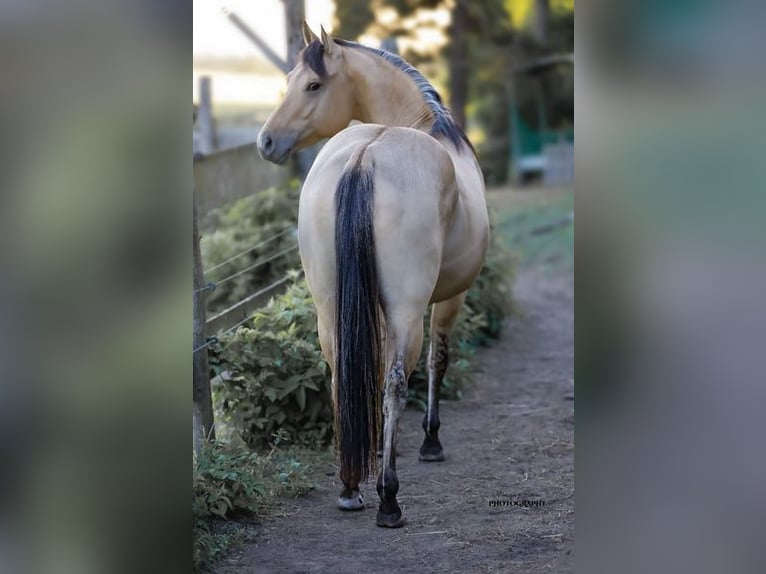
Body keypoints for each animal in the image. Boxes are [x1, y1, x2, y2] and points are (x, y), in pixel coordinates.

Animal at [257, 23, 489, 528]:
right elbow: (436, 362)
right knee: (397, 381)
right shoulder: (450, 299)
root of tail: (365, 155)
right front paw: (429, 443)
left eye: (311, 85)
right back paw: (388, 498)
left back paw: (350, 487)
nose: (265, 142)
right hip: (407, 310)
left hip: (330, 306)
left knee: (339, 373)